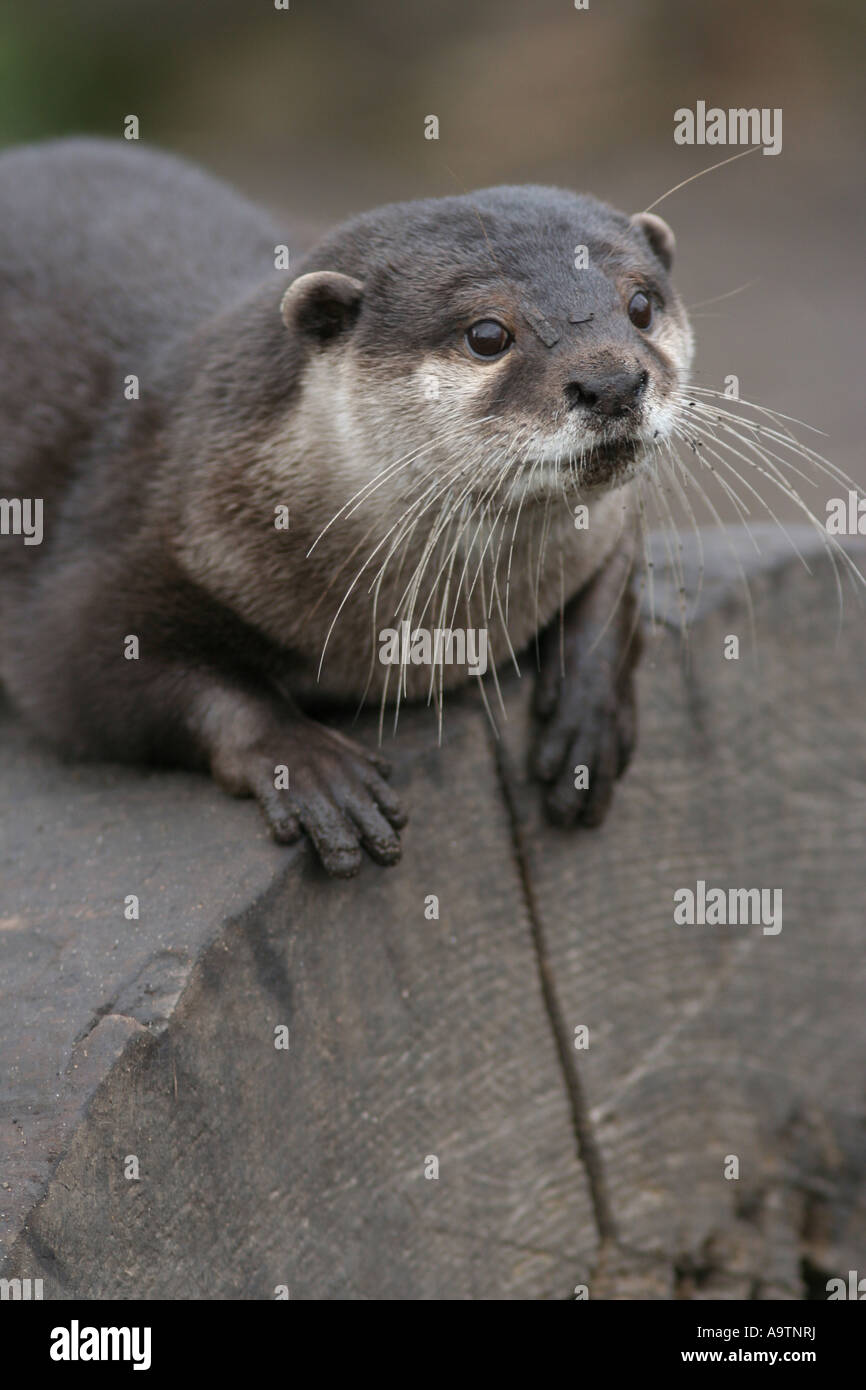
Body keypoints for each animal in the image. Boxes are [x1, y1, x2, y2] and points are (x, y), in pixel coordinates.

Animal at [0, 139, 693, 876]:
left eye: (641, 305)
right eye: (487, 335)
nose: (611, 382)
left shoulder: (604, 527)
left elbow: (617, 579)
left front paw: (589, 709)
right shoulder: (107, 557)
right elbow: (103, 682)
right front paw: (306, 763)